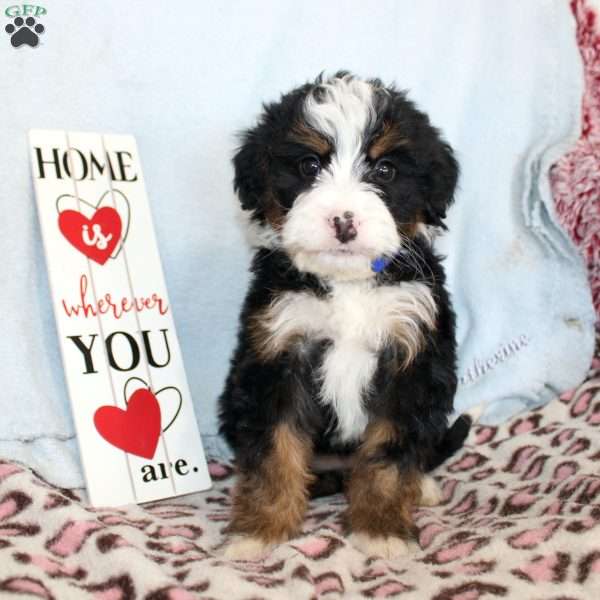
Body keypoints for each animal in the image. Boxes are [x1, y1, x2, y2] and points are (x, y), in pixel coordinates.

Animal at [219, 72, 468, 560]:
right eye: (309, 166)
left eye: (385, 170)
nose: (343, 220)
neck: (347, 284)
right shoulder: (278, 354)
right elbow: (273, 451)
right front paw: (259, 529)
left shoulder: (411, 358)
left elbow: (390, 455)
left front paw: (382, 527)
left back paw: (423, 486)